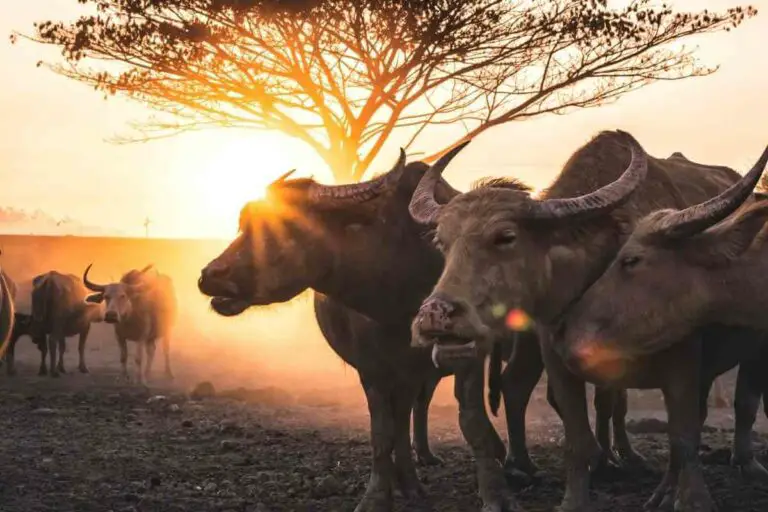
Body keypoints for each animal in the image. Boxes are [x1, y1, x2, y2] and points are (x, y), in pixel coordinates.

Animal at [409, 130, 768, 511]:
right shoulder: (556, 356)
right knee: (518, 386)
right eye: (442, 242)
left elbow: (683, 434)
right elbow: (577, 437)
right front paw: (576, 497)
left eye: (505, 237)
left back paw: (739, 465)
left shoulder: (682, 359)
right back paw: (524, 466)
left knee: (741, 403)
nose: (435, 315)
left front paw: (692, 498)